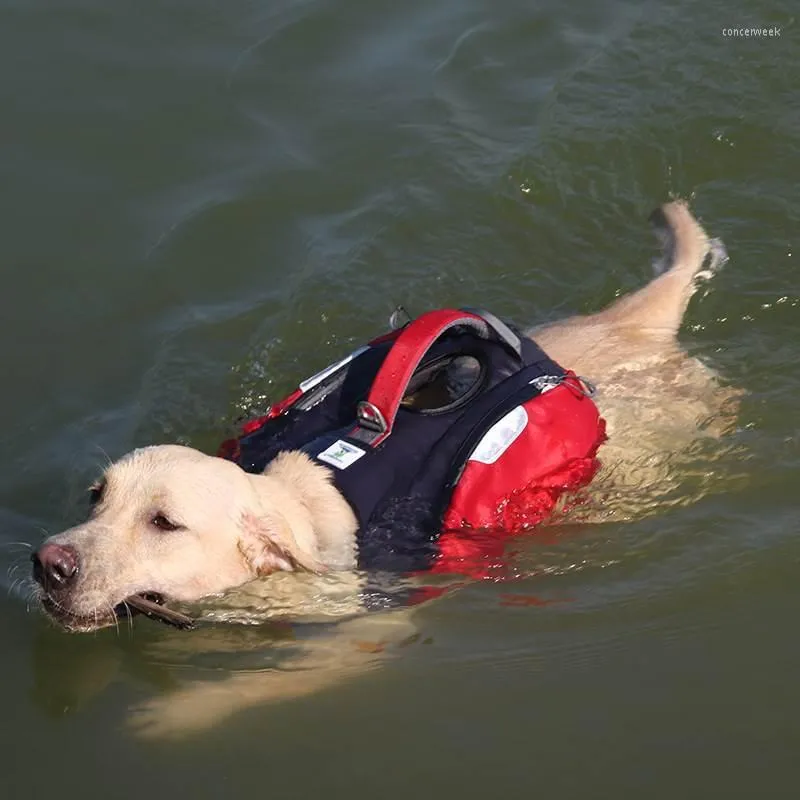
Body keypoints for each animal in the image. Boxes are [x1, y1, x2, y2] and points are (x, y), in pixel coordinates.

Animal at [32, 200, 744, 736]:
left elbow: (268, 681)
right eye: (95, 498)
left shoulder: (368, 629)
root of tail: (632, 326)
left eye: (164, 523)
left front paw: (177, 713)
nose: (49, 563)